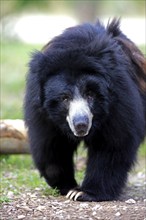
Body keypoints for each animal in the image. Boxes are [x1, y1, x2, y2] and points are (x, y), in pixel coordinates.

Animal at [24, 18, 146, 201]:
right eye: (64, 98)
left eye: (90, 95)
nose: (81, 124)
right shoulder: (42, 111)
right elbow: (51, 144)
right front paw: (67, 186)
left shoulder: (119, 102)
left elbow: (112, 144)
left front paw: (83, 193)